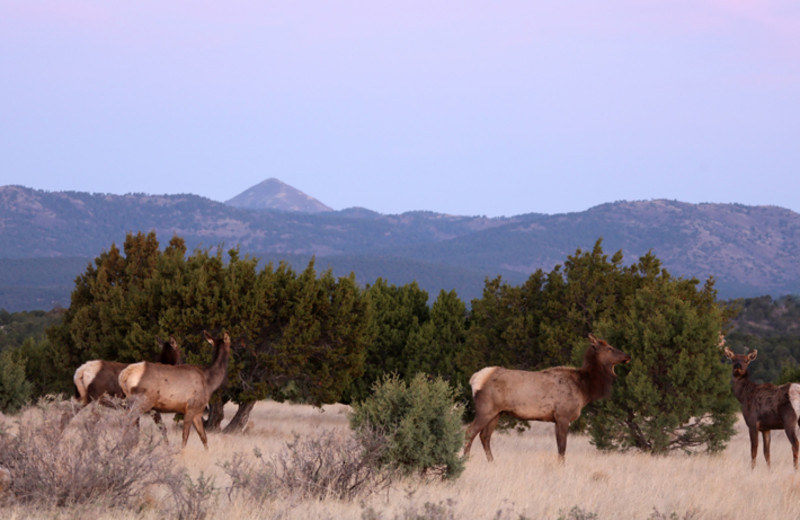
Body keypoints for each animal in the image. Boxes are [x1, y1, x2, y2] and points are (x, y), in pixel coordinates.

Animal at [462, 334, 632, 464]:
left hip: (497, 413)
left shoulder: (556, 418)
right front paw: (561, 466)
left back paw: (492, 462)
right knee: (470, 432)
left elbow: (560, 446)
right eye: (609, 348)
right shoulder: (563, 415)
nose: (628, 355)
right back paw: (466, 460)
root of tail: (475, 379)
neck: (584, 388)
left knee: (485, 436)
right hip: (485, 409)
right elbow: (562, 447)